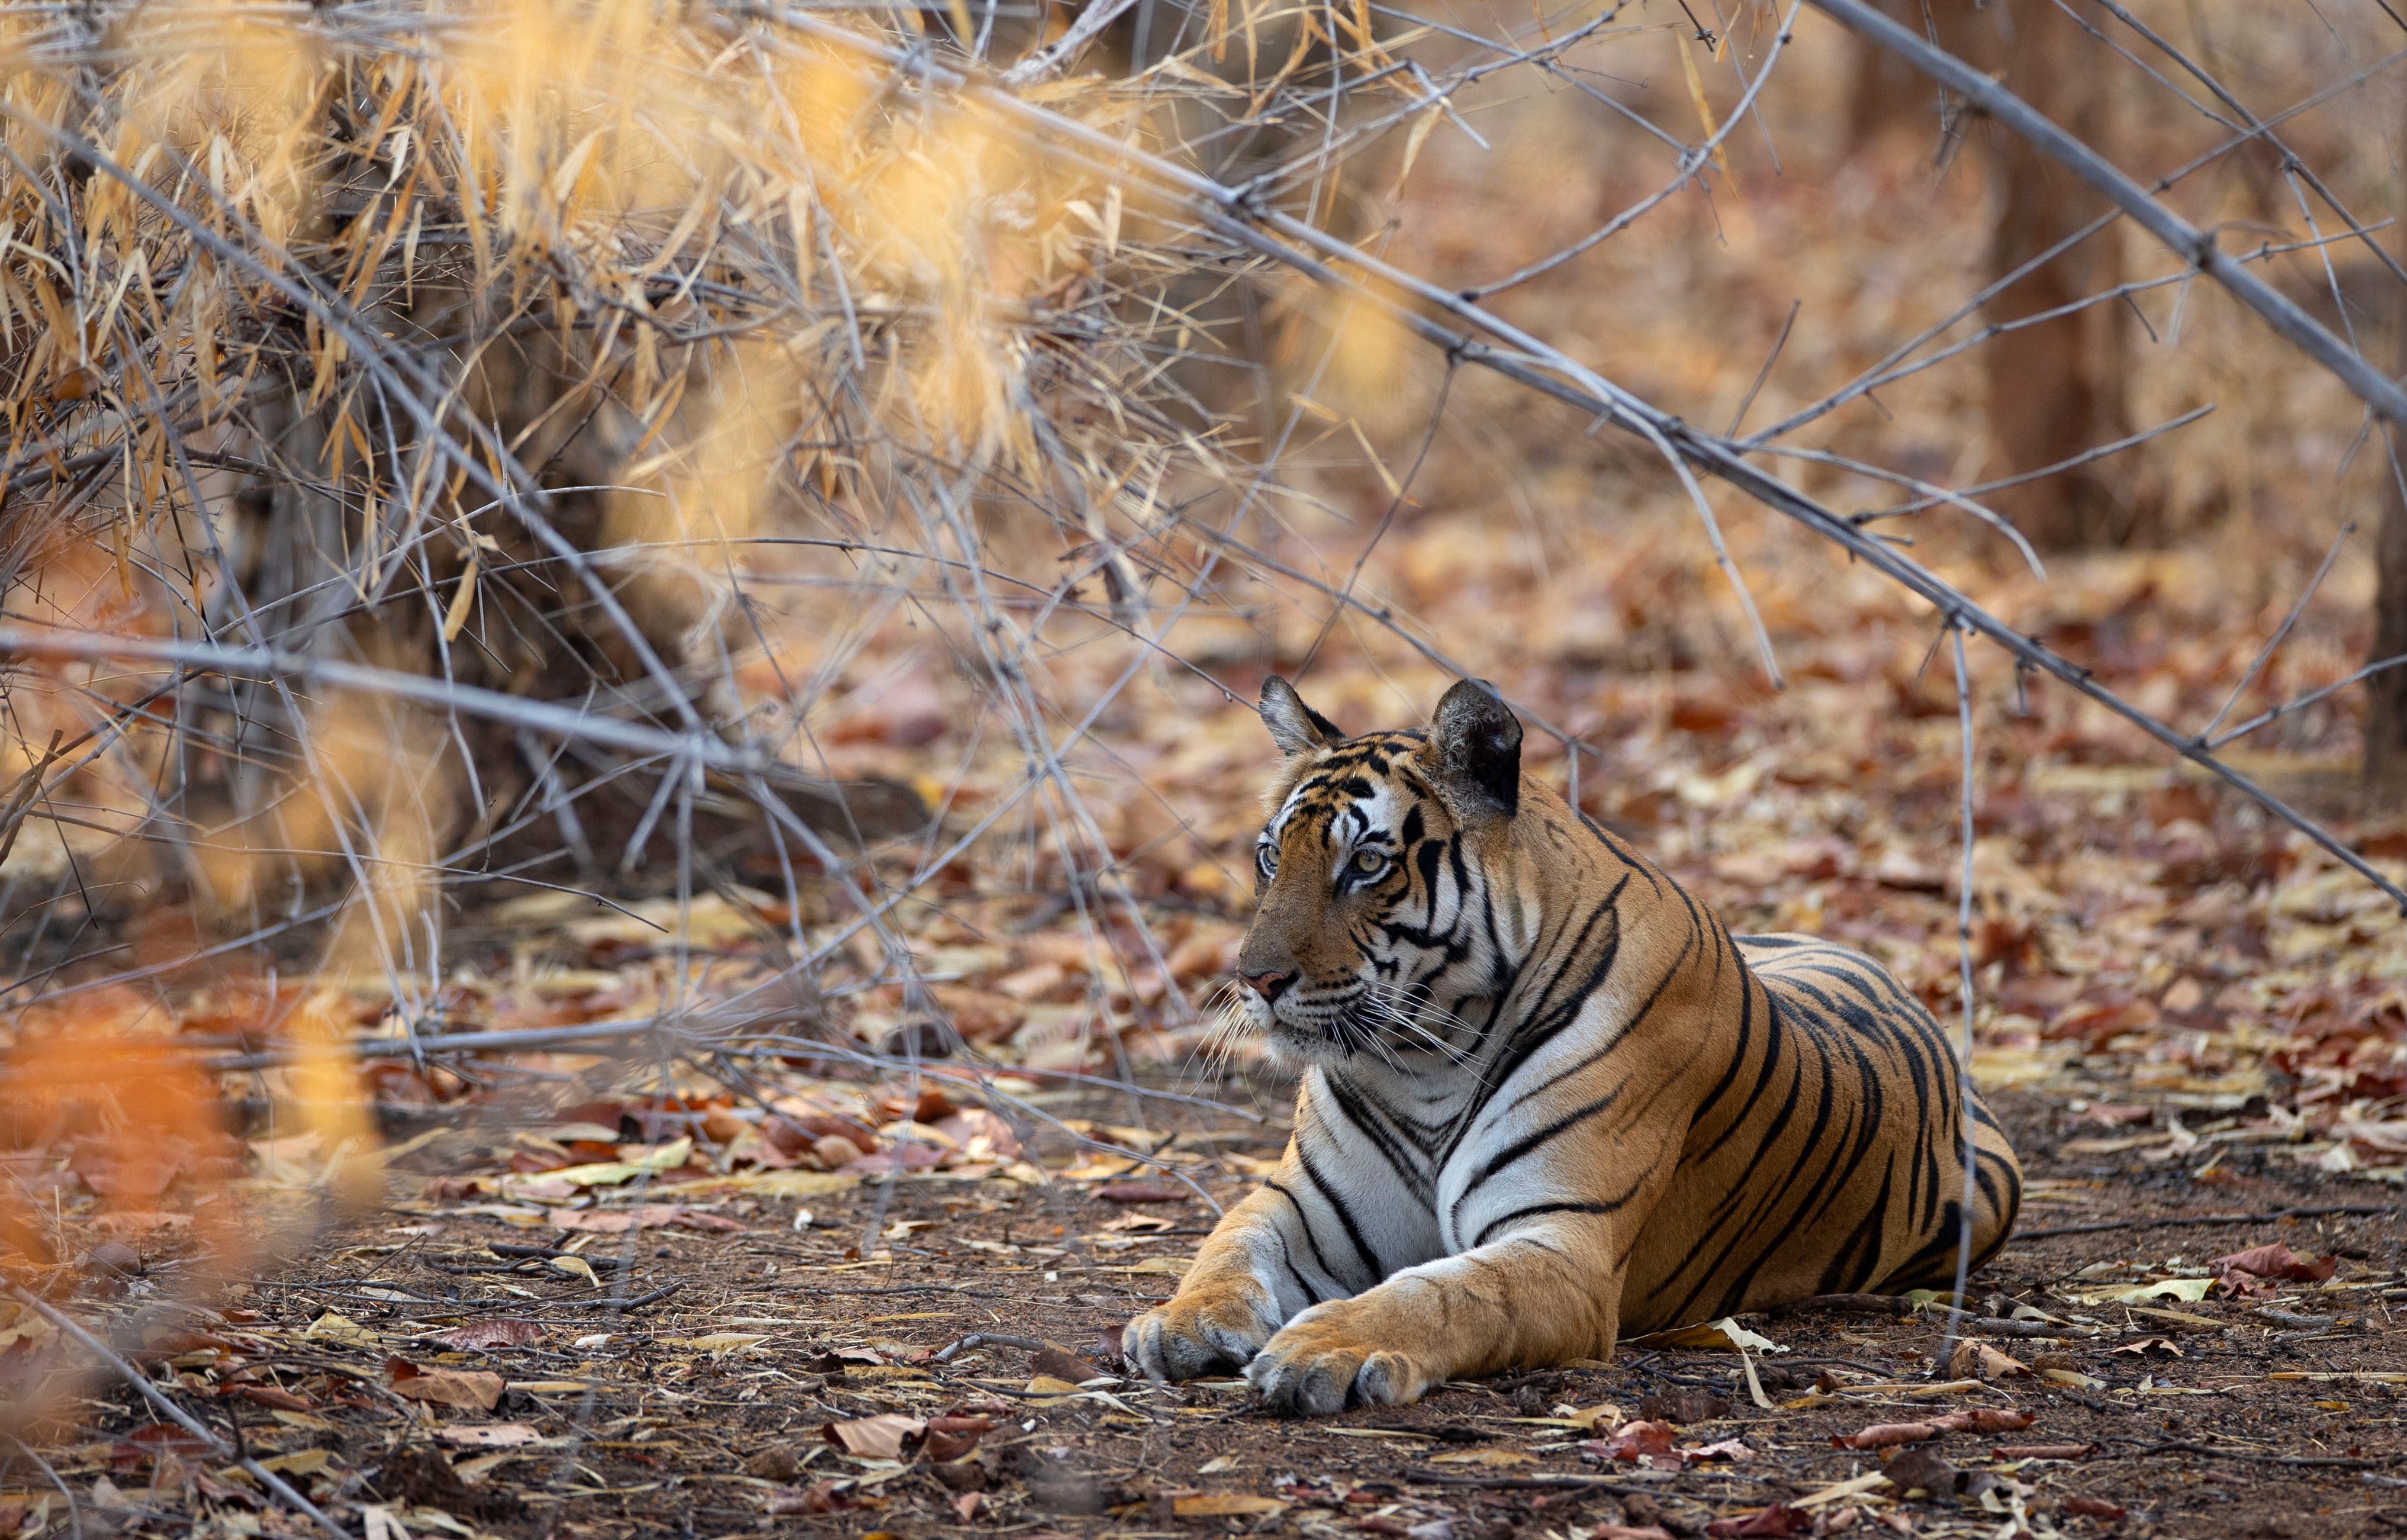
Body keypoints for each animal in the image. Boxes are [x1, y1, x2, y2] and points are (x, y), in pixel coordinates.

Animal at [1126, 677, 2022, 1414]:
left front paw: (1322, 1346)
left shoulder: (1563, 1245)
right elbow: (1227, 1243)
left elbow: (1438, 1295)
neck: (1422, 1062)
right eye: (1269, 855)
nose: (1253, 978)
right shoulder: (1305, 1204)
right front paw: (1177, 1320)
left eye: (1368, 862)